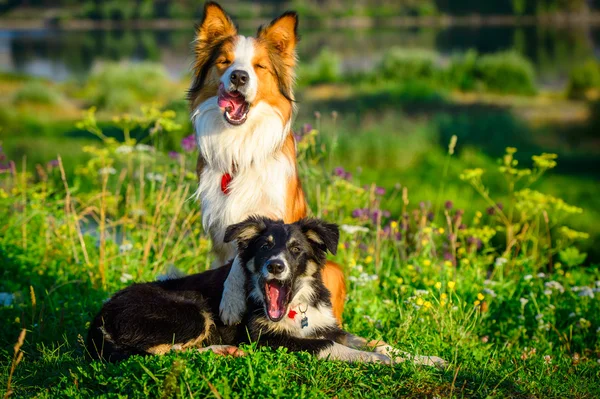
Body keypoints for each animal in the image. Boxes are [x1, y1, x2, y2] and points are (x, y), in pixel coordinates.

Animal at [88, 217, 446, 368]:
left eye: (296, 249)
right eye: (265, 247)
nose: (275, 266)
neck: (296, 308)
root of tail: (99, 317)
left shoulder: (325, 324)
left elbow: (373, 341)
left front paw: (426, 359)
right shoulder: (265, 338)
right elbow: (330, 347)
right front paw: (383, 361)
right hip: (190, 313)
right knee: (158, 353)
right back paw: (225, 351)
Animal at [190, 2, 344, 324]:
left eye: (259, 66)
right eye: (224, 62)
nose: (238, 77)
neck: (239, 146)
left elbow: (244, 260)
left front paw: (232, 302)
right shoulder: (220, 229)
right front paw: (231, 301)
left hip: (334, 272)